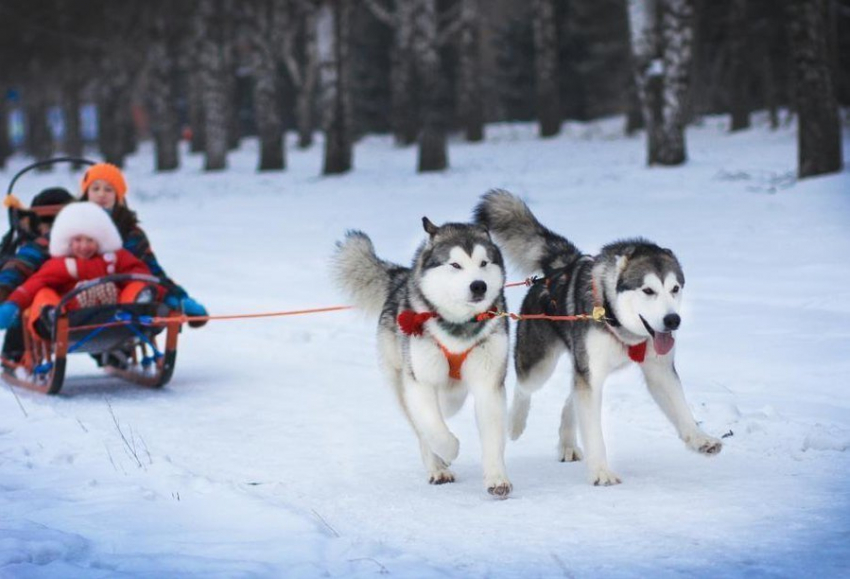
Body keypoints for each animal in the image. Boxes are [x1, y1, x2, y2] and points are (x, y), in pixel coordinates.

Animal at [332, 218, 512, 498]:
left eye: (484, 263)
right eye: (455, 265)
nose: (478, 285)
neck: (458, 325)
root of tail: (401, 278)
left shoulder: (488, 383)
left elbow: (492, 435)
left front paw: (496, 479)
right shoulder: (420, 382)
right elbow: (433, 428)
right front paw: (448, 451)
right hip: (400, 380)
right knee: (421, 426)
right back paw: (438, 467)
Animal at [474, 190, 720, 484]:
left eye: (675, 288)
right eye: (648, 290)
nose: (673, 320)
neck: (616, 318)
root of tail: (560, 267)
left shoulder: (658, 370)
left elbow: (681, 409)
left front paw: (700, 439)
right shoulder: (590, 376)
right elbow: (593, 432)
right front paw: (601, 471)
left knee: (570, 399)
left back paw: (567, 443)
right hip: (541, 364)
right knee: (525, 388)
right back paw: (515, 423)